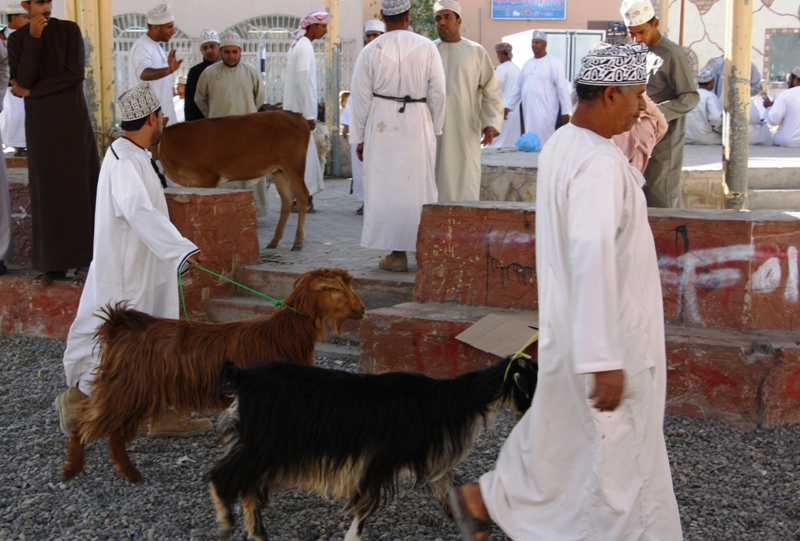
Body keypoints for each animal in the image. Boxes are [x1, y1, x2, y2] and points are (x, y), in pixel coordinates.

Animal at [61, 268, 368, 484]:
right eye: (338, 290)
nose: (362, 309)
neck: (283, 334)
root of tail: (120, 325)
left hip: (135, 392)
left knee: (113, 433)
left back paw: (130, 474)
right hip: (126, 387)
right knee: (87, 423)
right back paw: (72, 469)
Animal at [206, 354, 536, 540]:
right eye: (531, 384)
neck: (438, 402)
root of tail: (242, 376)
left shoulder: (429, 461)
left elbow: (449, 493)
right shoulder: (383, 458)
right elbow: (367, 503)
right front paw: (352, 536)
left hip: (263, 449)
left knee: (249, 490)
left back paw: (257, 534)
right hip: (265, 445)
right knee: (222, 477)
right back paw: (225, 522)